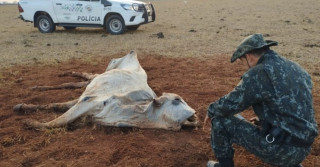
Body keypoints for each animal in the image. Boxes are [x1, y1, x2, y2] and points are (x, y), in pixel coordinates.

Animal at [15, 51, 200, 130]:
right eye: (177, 99)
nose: (195, 114)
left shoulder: (87, 103)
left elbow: (60, 108)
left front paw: (26, 110)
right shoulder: (89, 100)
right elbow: (59, 120)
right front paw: (30, 121)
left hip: (96, 80)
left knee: (79, 82)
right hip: (106, 70)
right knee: (82, 76)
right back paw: (60, 75)